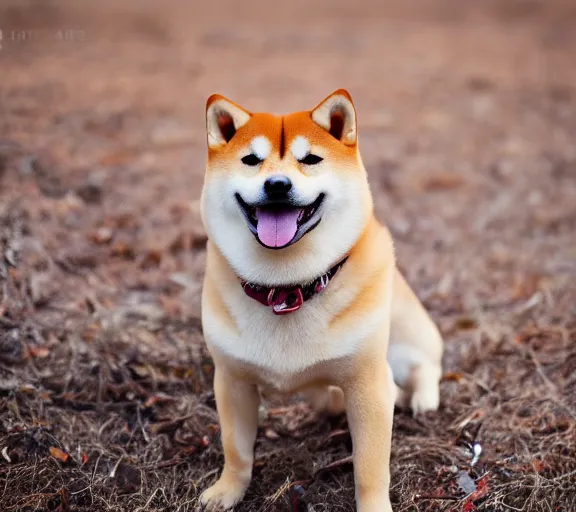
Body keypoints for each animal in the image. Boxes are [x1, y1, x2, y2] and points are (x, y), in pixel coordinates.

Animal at [200, 90, 444, 510]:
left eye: (311, 159)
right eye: (251, 160)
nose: (277, 185)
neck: (286, 288)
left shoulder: (368, 385)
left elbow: (370, 468)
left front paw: (374, 506)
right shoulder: (232, 383)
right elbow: (236, 451)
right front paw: (227, 491)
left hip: (408, 334)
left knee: (426, 365)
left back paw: (422, 397)